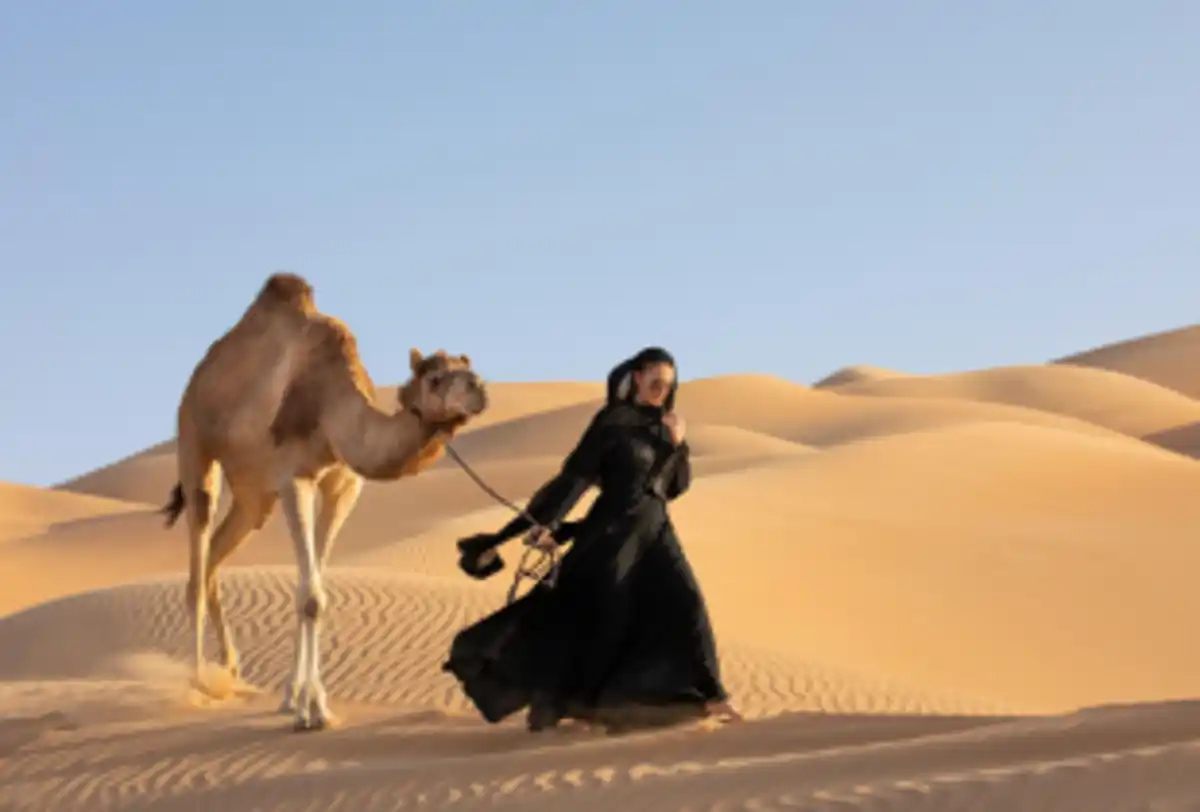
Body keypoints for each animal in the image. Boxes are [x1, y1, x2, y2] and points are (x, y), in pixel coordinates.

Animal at [160, 272, 489, 731]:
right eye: (436, 379)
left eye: (468, 368)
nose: (479, 389)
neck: (331, 403)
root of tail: (198, 377)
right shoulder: (293, 477)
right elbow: (310, 596)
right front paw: (313, 709)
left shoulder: (342, 484)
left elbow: (317, 587)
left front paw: (294, 698)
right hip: (194, 442)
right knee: (198, 546)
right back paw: (198, 683)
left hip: (253, 496)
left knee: (213, 561)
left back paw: (229, 669)